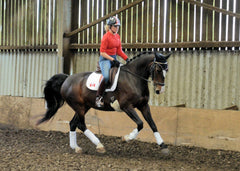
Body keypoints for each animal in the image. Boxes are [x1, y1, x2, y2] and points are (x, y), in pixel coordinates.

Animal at [37, 51, 171, 154]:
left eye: (167, 70)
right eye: (158, 69)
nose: (160, 90)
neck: (134, 78)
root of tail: (67, 78)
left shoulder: (143, 105)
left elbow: (152, 124)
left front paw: (163, 145)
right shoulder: (126, 106)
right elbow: (140, 123)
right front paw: (126, 138)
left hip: (84, 106)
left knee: (73, 123)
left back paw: (76, 148)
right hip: (79, 107)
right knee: (81, 124)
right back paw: (99, 145)